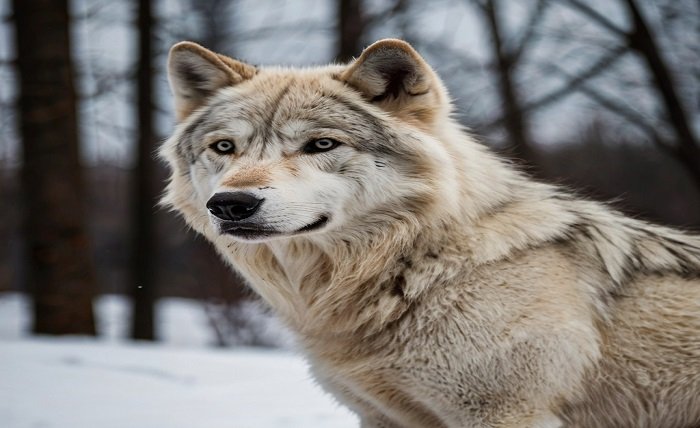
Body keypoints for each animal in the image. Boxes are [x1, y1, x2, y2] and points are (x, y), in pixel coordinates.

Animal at [161, 38, 700, 426]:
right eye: (225, 147)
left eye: (321, 144)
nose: (230, 204)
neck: (421, 267)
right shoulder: (383, 418)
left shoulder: (509, 414)